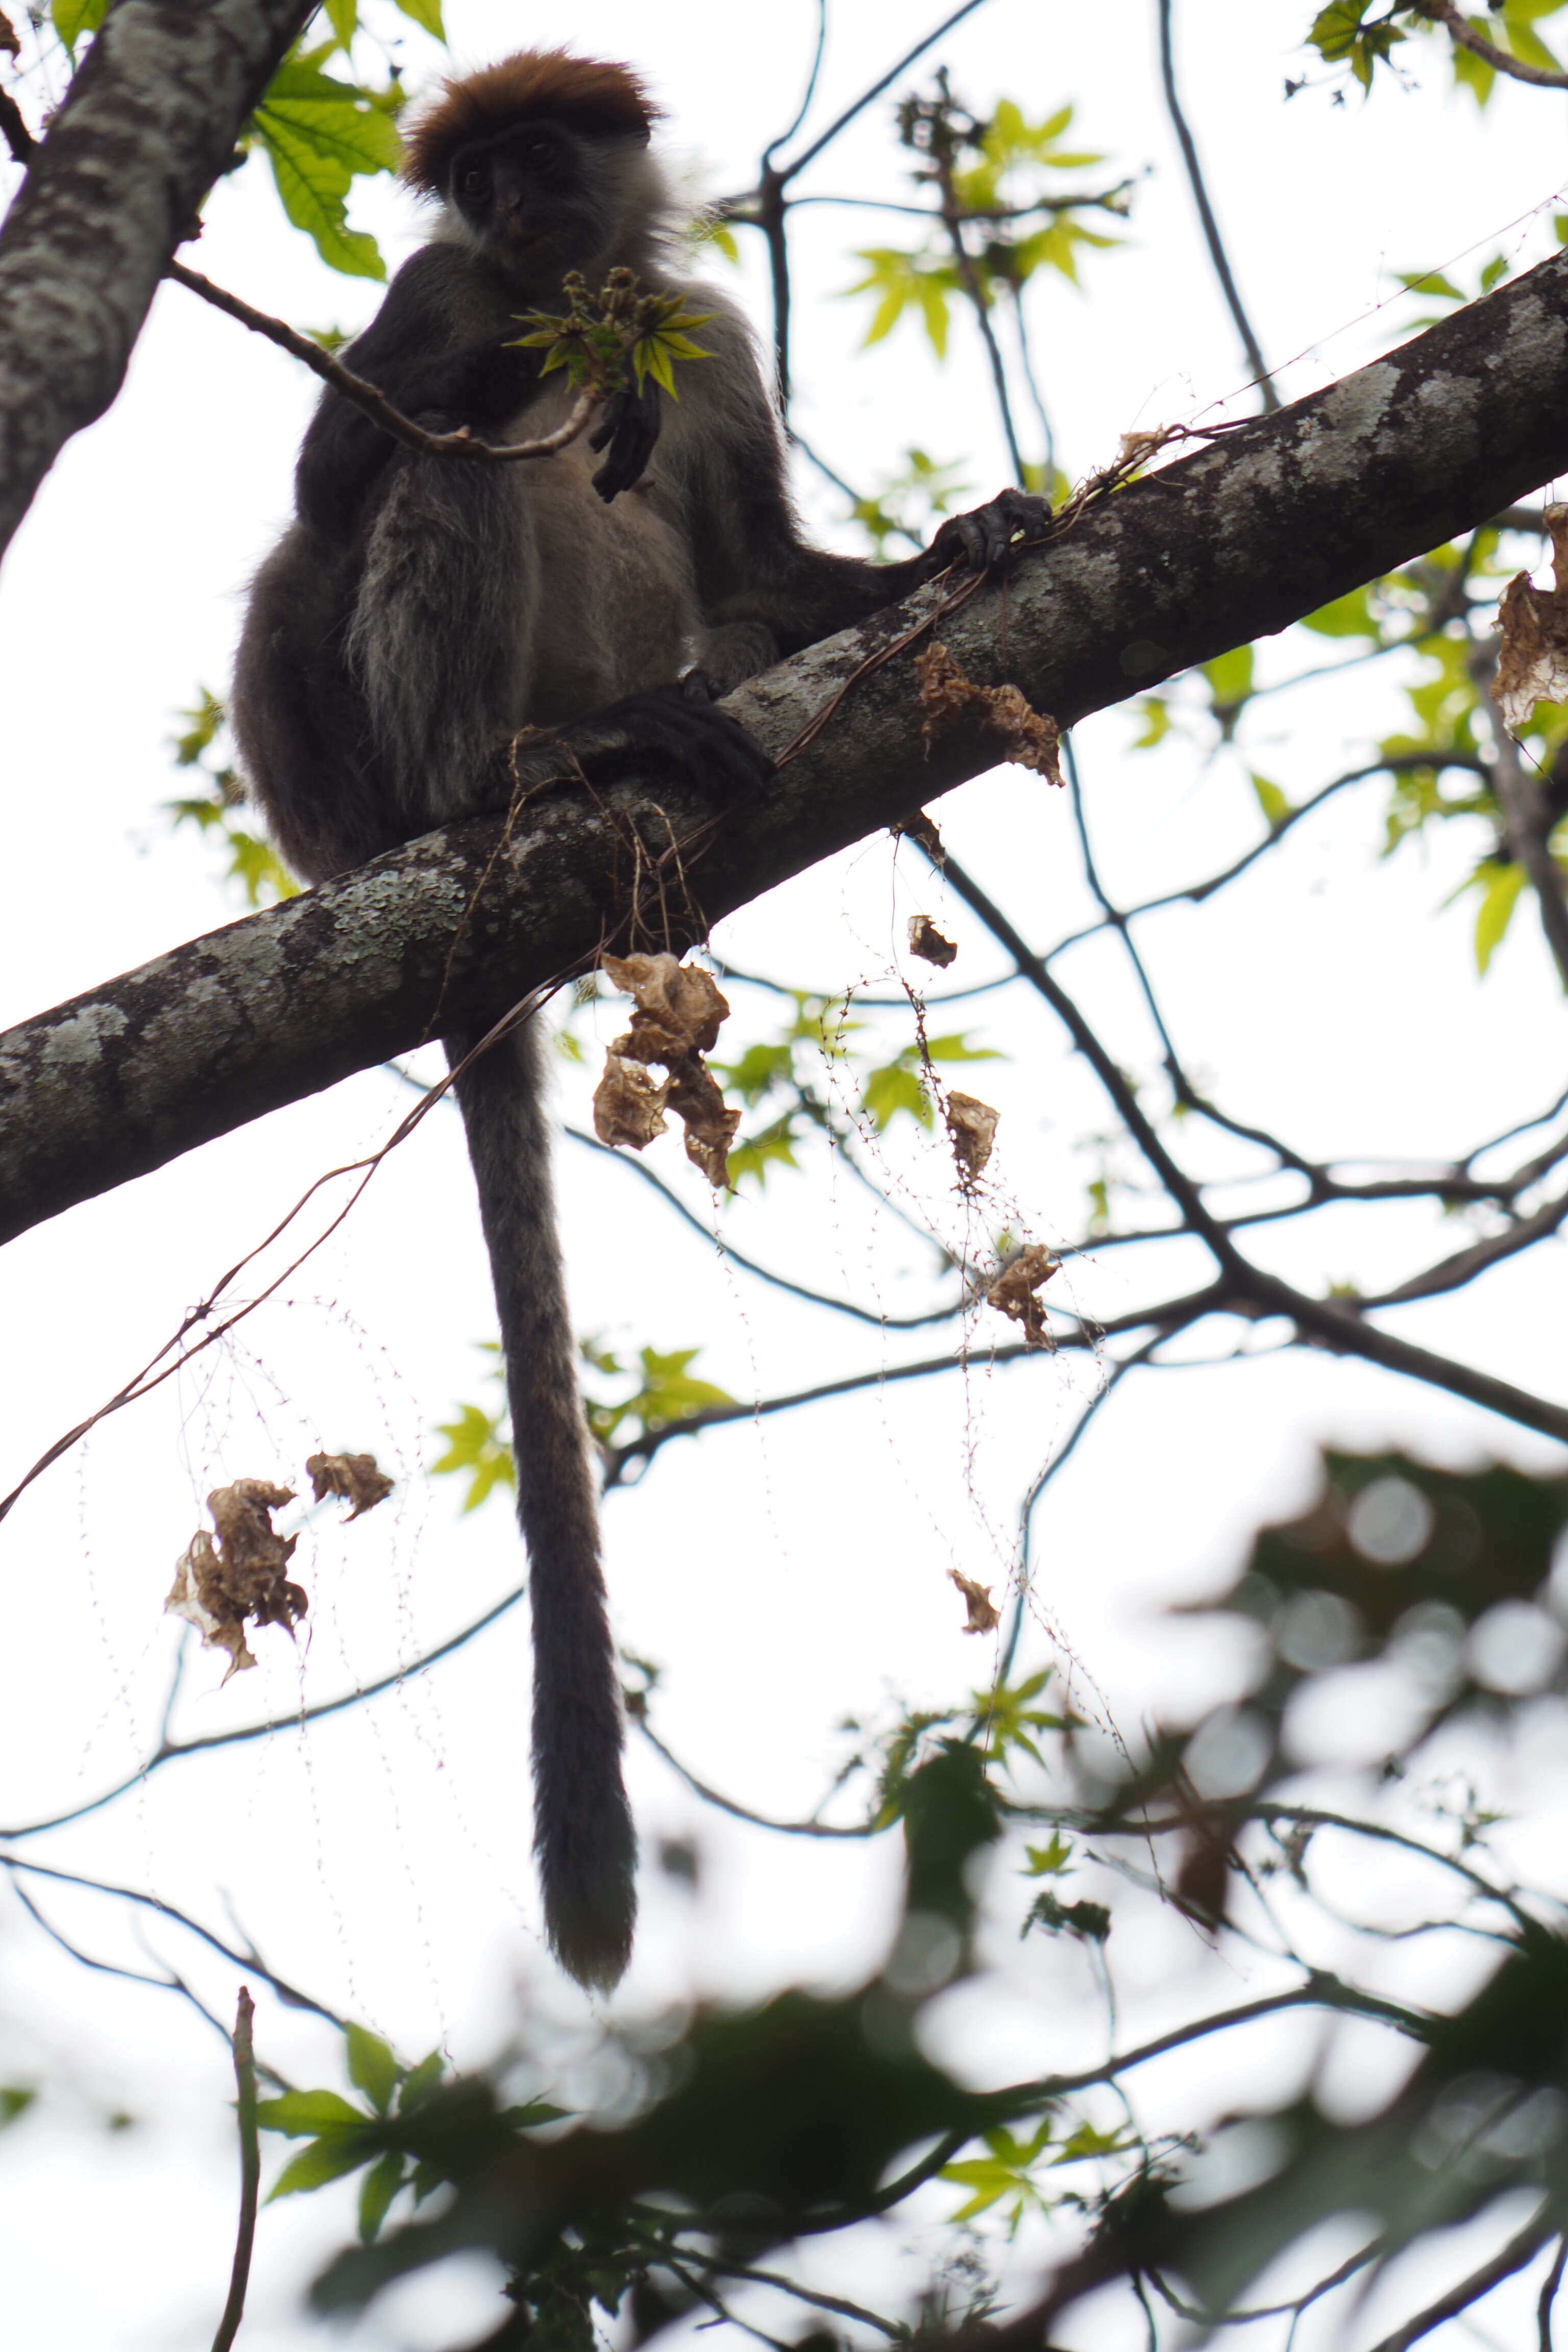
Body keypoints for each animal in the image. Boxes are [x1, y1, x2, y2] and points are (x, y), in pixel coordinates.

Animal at [230, 45, 1043, 1994]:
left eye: (546, 155)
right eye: (482, 179)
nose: (518, 204)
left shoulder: (710, 328)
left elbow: (755, 547)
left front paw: (956, 540)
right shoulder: (441, 293)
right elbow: (343, 469)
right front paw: (533, 366)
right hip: (380, 765)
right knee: (384, 526)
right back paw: (524, 773)